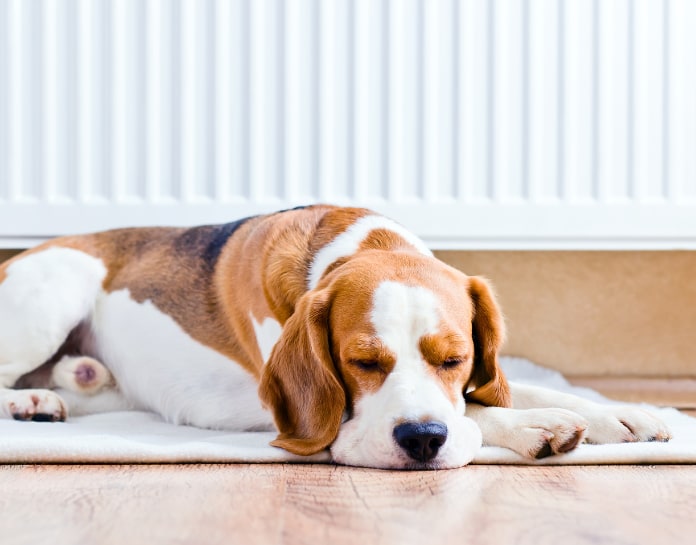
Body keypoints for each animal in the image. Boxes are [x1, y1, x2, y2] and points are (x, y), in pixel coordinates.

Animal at [0, 204, 668, 468]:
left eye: (455, 359)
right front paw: (537, 426)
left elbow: (507, 388)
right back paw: (27, 401)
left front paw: (623, 414)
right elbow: (479, 411)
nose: (422, 442)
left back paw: (62, 387)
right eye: (361, 363)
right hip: (57, 289)